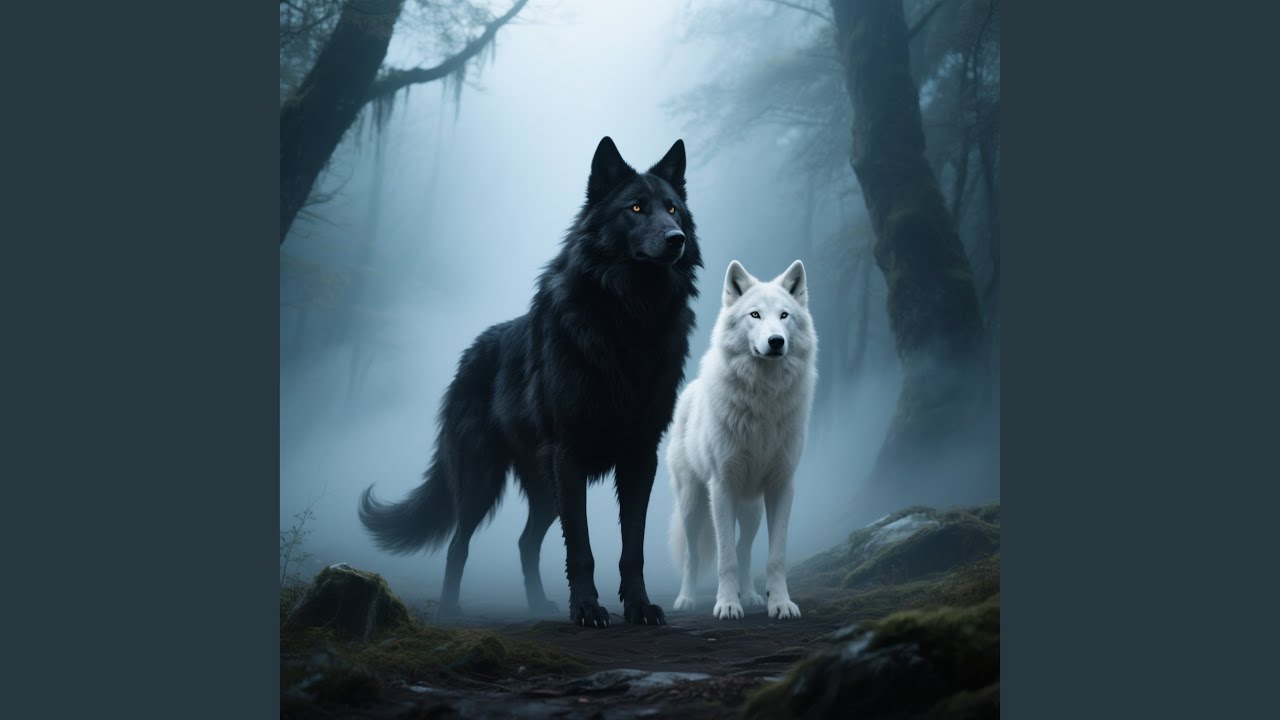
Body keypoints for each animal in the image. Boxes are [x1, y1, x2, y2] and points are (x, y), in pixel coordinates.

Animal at [358, 137, 702, 627]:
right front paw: (588, 610)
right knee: (458, 545)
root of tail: (468, 354)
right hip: (484, 481)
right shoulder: (569, 453)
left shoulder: (640, 454)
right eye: (636, 208)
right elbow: (582, 549)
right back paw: (449, 611)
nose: (677, 240)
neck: (628, 317)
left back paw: (538, 605)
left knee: (524, 543)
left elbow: (630, 547)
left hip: (542, 490)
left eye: (672, 209)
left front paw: (637, 607)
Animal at [667, 259, 817, 620]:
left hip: (751, 510)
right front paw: (726, 605)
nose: (776, 341)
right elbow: (726, 558)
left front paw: (780, 604)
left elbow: (774, 556)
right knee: (694, 555)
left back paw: (750, 595)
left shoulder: (781, 486)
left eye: (784, 315)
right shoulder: (722, 487)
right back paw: (686, 600)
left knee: (744, 548)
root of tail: (688, 393)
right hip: (693, 505)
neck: (764, 399)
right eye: (755, 315)